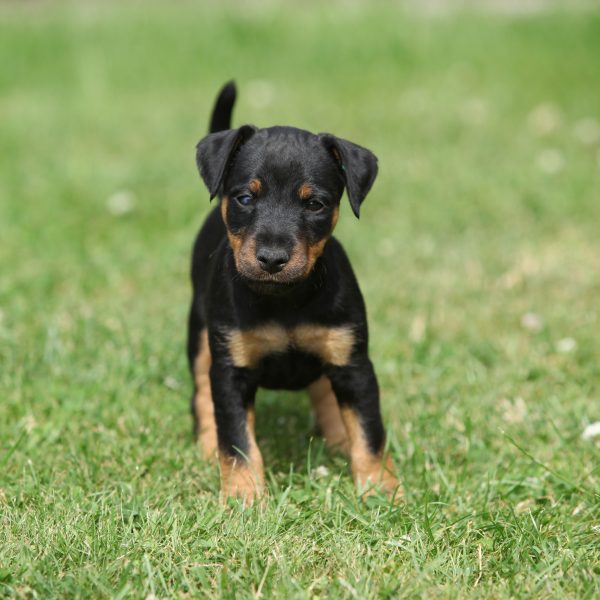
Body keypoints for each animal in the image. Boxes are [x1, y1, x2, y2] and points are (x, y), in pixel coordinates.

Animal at [186, 79, 398, 502]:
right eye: (245, 198)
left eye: (315, 204)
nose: (272, 258)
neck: (284, 299)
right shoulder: (230, 372)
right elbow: (237, 441)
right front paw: (244, 497)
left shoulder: (354, 365)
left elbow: (369, 433)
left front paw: (380, 490)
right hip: (199, 333)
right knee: (200, 393)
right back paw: (206, 447)